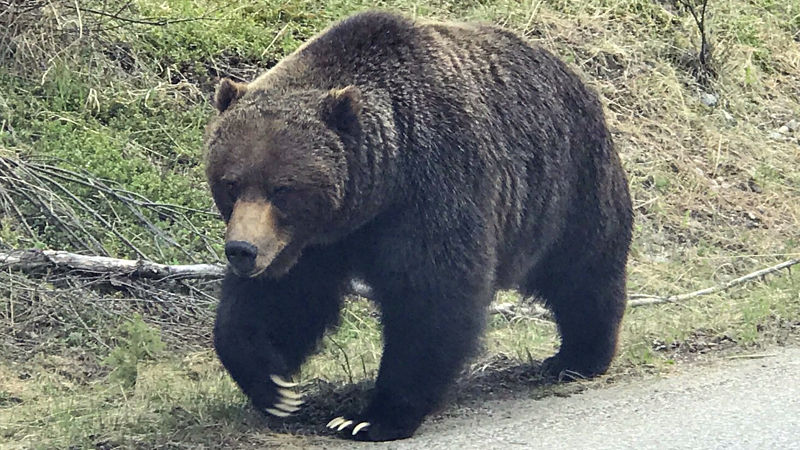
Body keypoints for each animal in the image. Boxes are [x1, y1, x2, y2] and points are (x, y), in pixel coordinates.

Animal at [203, 10, 636, 442]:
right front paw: (275, 387)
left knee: (583, 272)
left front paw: (371, 417)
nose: (242, 250)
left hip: (569, 185)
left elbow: (431, 298)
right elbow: (286, 298)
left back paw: (578, 356)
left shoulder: (434, 187)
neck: (379, 188)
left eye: (282, 188)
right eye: (231, 183)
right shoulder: (315, 242)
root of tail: (574, 74)